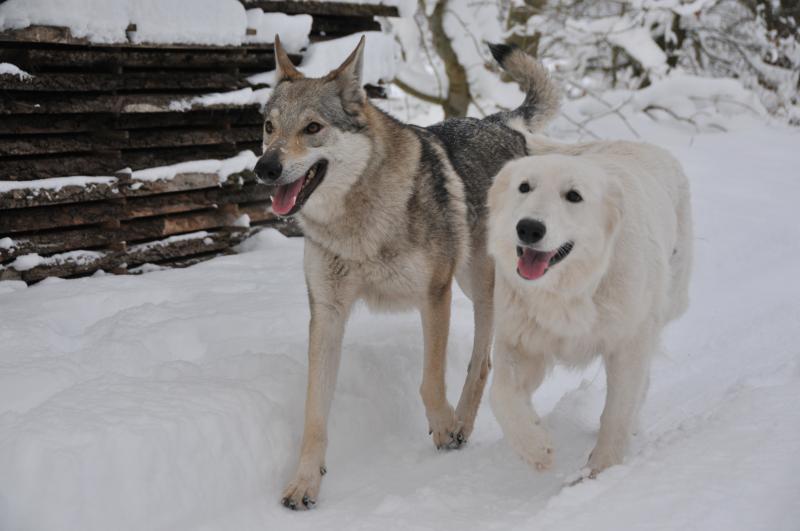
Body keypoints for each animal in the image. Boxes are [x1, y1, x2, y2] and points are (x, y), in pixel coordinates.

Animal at [484, 137, 692, 478]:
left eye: (573, 196)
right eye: (524, 187)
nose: (529, 228)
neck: (571, 288)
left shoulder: (628, 342)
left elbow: (618, 412)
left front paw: (601, 471)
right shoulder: (520, 341)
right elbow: (501, 394)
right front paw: (535, 447)